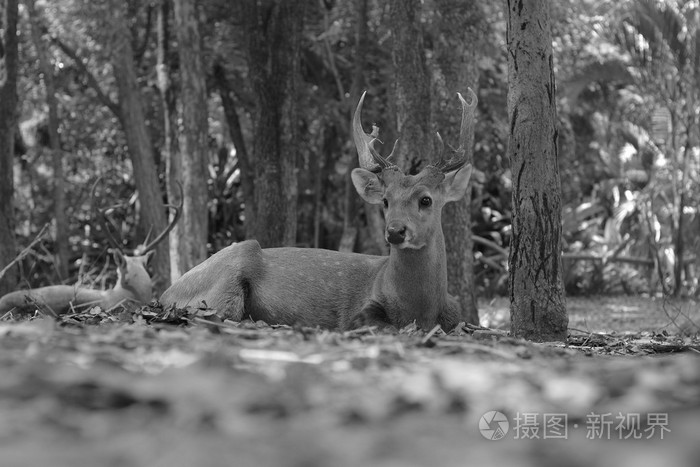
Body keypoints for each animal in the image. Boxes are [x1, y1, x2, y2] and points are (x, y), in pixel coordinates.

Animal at [159, 90, 476, 332]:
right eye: (386, 200)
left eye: (426, 200)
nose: (396, 231)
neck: (419, 308)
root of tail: (165, 294)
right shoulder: (359, 313)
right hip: (228, 274)